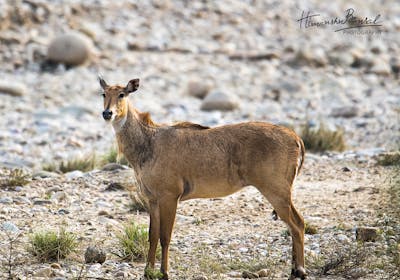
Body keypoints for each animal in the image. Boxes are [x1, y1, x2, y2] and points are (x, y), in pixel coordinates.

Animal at [99, 77, 306, 280]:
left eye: (122, 94)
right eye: (103, 93)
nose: (107, 113)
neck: (148, 143)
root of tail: (296, 139)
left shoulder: (170, 196)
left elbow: (165, 236)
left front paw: (164, 273)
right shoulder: (152, 199)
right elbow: (153, 235)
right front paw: (147, 272)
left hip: (275, 189)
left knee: (297, 224)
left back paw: (300, 271)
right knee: (295, 224)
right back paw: (293, 271)